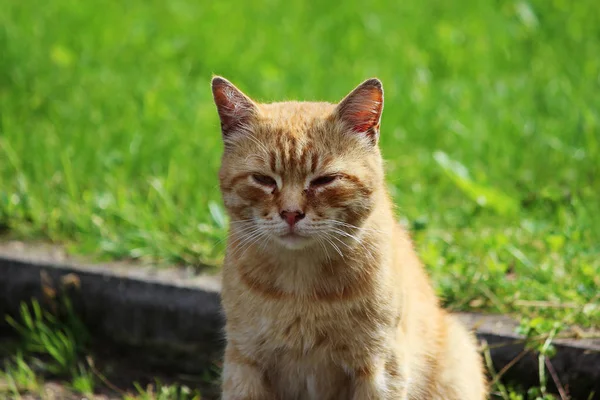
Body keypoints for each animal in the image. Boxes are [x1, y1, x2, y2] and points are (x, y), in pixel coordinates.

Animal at [213, 76, 486, 400]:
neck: (300, 289)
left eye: (324, 180)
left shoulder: (379, 370)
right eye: (264, 179)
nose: (291, 213)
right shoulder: (245, 363)